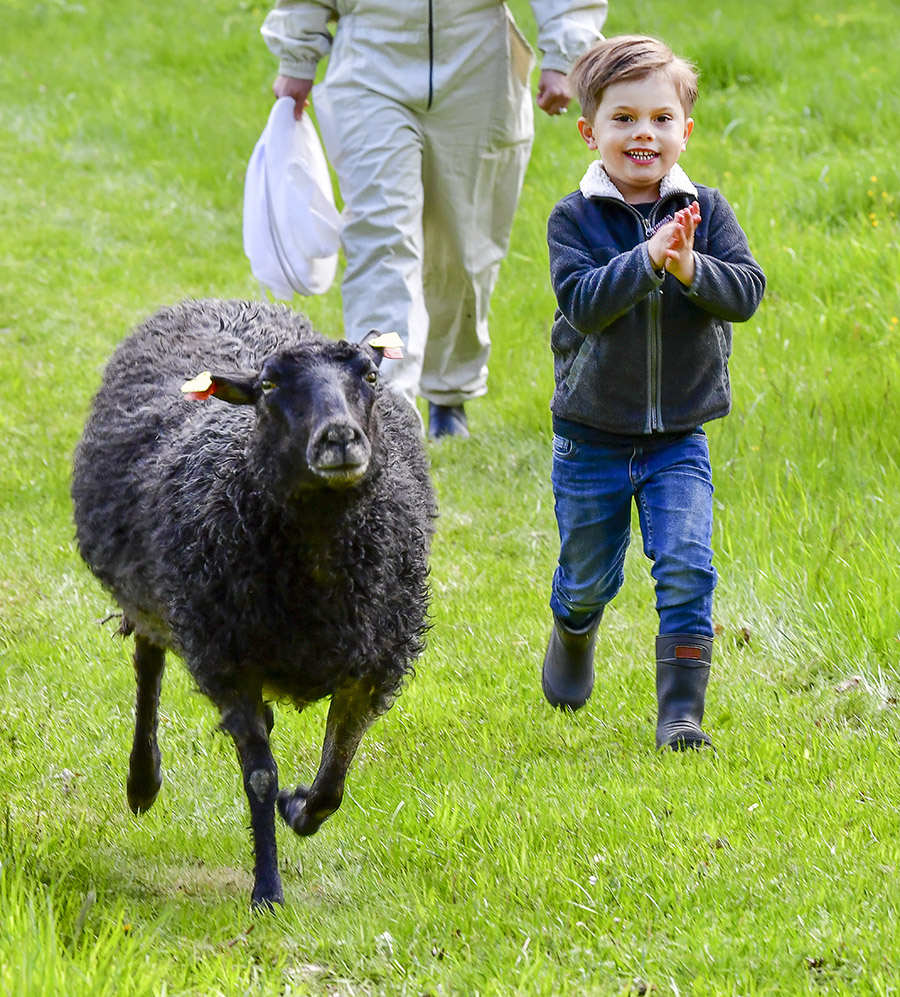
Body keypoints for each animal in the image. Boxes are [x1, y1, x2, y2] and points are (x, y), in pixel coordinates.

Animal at [71, 300, 436, 908]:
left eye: (369, 375)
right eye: (268, 386)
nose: (339, 438)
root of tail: (214, 302)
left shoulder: (372, 663)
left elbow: (334, 780)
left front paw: (299, 808)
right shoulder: (227, 657)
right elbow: (260, 777)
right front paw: (267, 889)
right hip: (154, 599)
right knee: (148, 669)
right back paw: (142, 783)